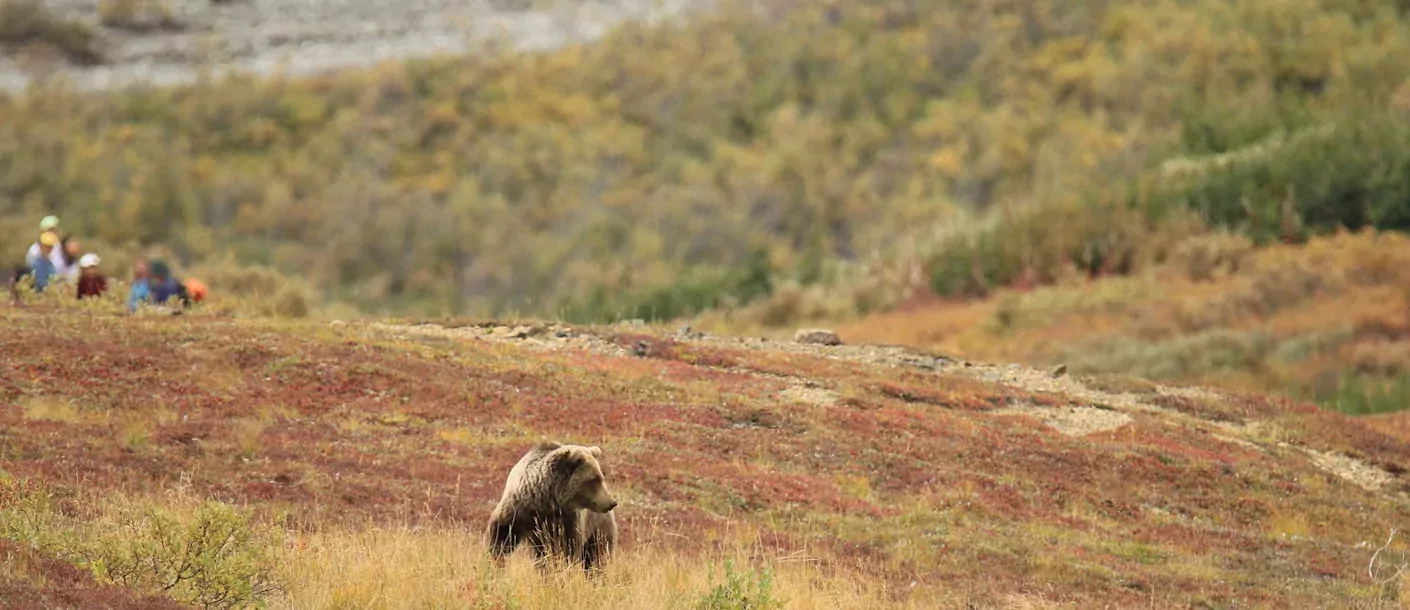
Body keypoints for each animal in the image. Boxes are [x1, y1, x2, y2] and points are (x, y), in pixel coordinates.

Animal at [485, 439, 617, 569]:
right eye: (593, 480)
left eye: (600, 478)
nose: (612, 502)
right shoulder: (519, 509)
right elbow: (501, 535)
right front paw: (496, 560)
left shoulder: (568, 520)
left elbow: (568, 547)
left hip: (598, 527)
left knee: (597, 552)